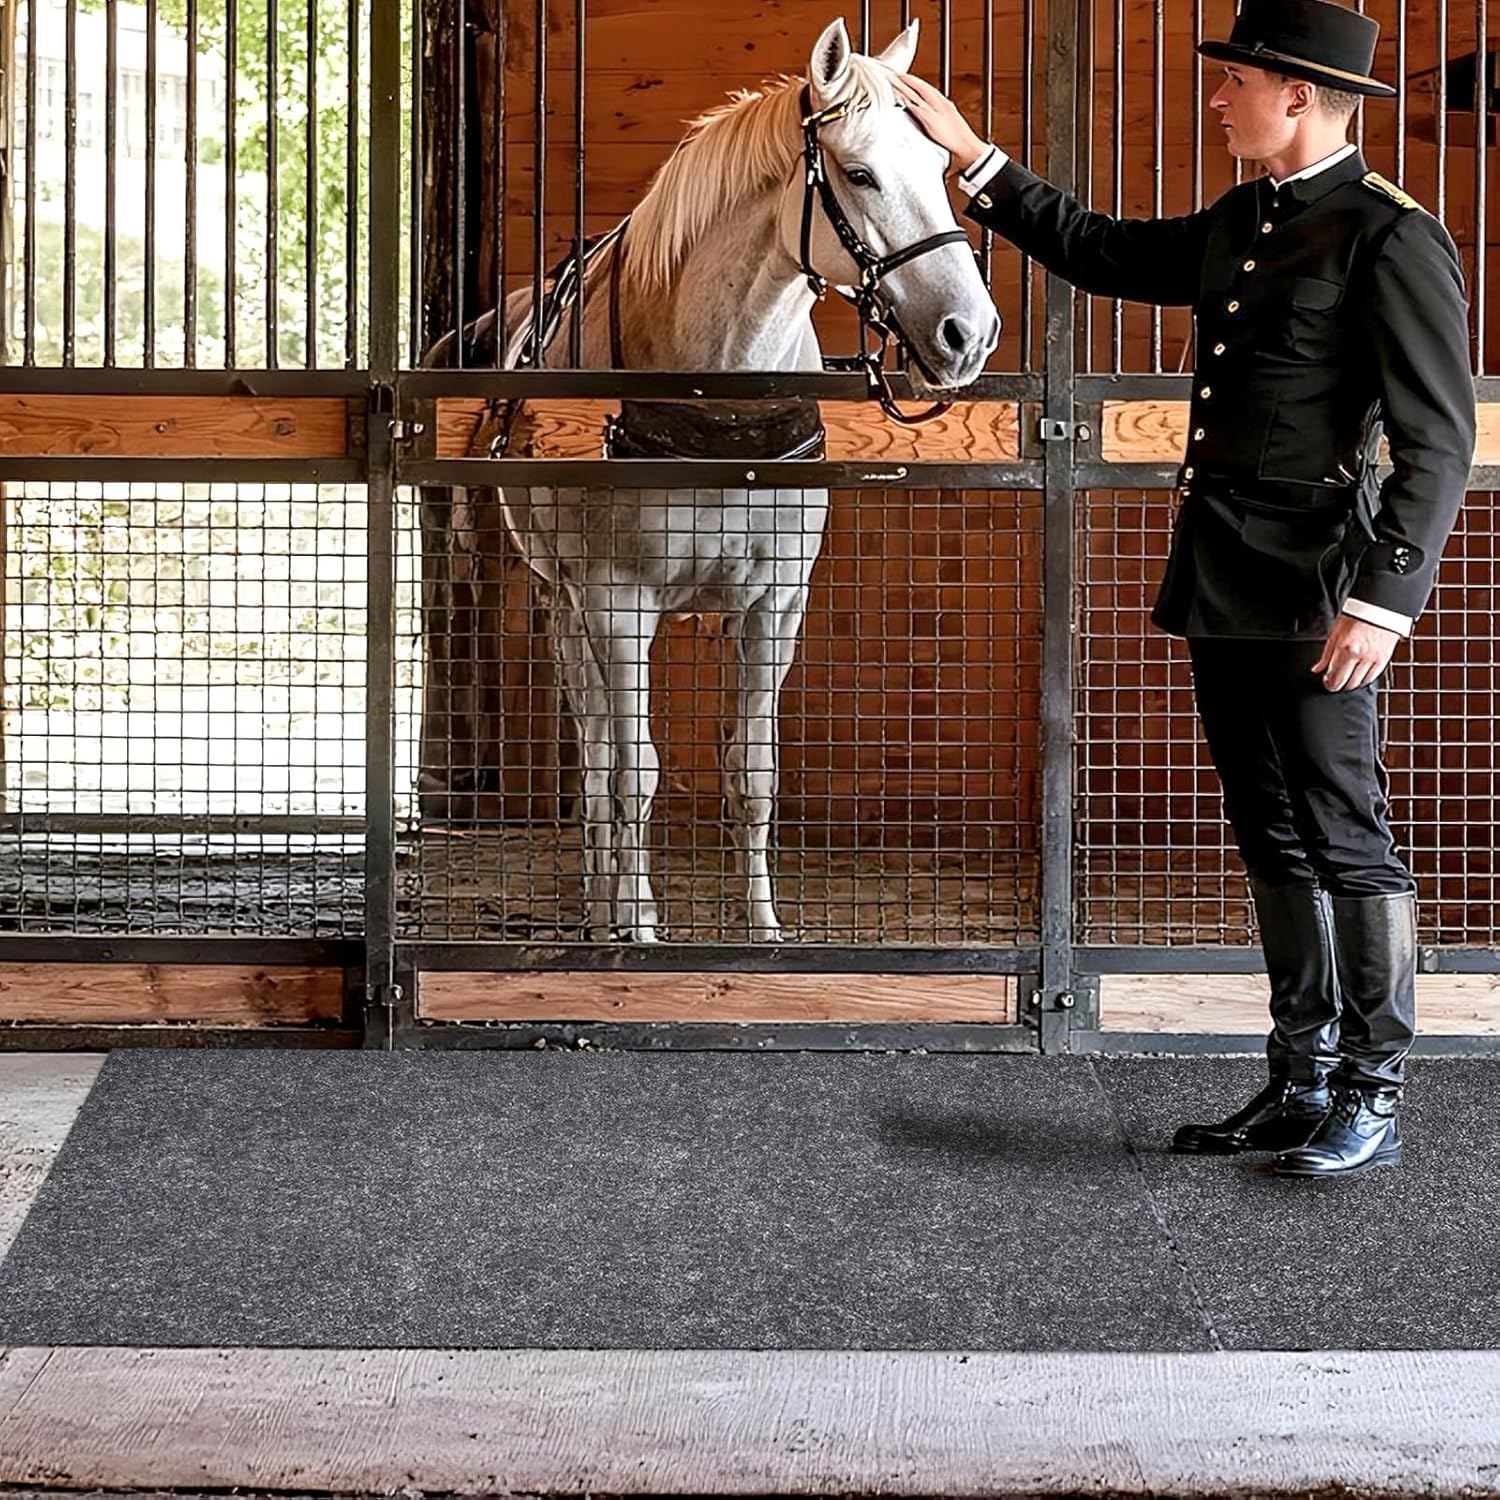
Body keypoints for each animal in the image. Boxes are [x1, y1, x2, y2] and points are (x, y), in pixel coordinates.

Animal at [426, 17, 1000, 942]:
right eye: (861, 173)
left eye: (940, 168)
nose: (966, 333)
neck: (719, 398)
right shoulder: (615, 601)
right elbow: (635, 773)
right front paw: (637, 925)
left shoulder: (776, 605)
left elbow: (753, 772)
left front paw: (762, 932)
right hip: (565, 603)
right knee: (597, 756)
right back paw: (602, 909)